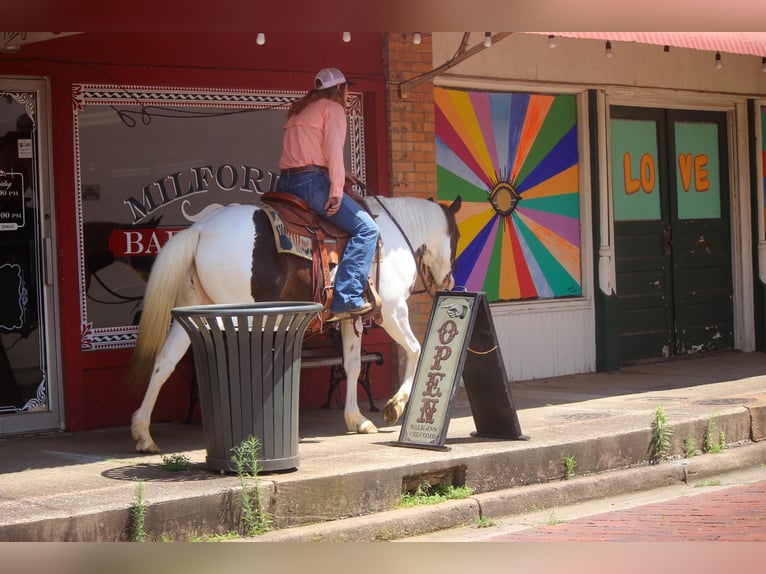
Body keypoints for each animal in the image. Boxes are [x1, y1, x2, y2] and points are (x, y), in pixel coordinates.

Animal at [128, 195, 462, 454]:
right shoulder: (393, 311)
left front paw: (358, 420)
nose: (449, 282)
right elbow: (417, 350)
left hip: (195, 310)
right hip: (233, 315)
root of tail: (201, 229)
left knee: (164, 362)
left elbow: (353, 365)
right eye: (457, 236)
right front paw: (395, 406)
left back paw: (144, 434)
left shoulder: (350, 317)